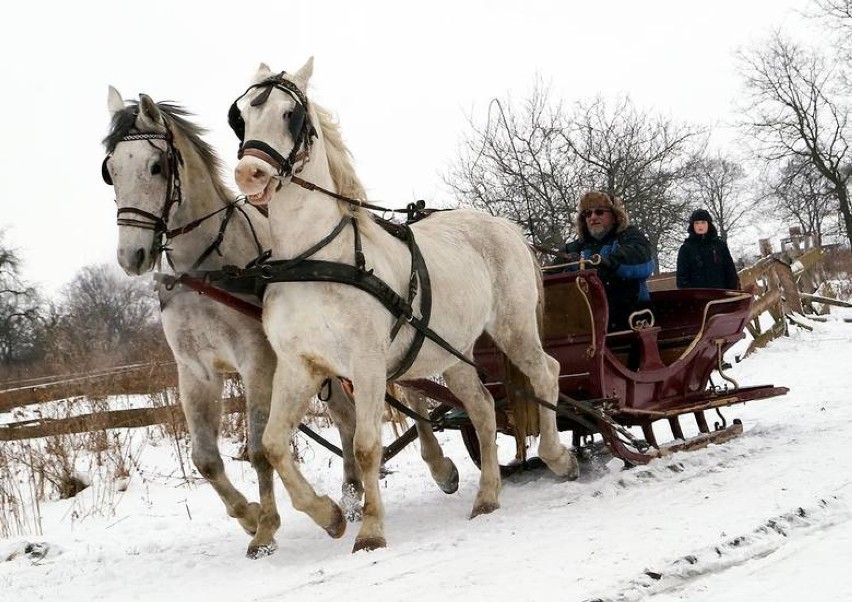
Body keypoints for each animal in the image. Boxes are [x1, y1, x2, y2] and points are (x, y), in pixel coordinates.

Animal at [103, 86, 460, 556]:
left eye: (155, 166)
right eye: (110, 171)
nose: (132, 256)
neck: (206, 274)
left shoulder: (258, 362)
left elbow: (257, 449)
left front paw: (269, 528)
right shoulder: (195, 371)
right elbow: (206, 459)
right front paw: (251, 516)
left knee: (411, 395)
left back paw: (437, 467)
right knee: (346, 417)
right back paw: (351, 493)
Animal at [231, 58, 580, 552]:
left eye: (290, 114)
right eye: (242, 115)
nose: (250, 174)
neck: (314, 260)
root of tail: (505, 226)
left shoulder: (368, 363)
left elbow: (365, 446)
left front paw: (371, 530)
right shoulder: (301, 366)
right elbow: (275, 443)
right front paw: (330, 516)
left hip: (513, 328)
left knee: (545, 373)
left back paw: (558, 458)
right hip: (455, 352)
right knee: (483, 408)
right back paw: (487, 495)